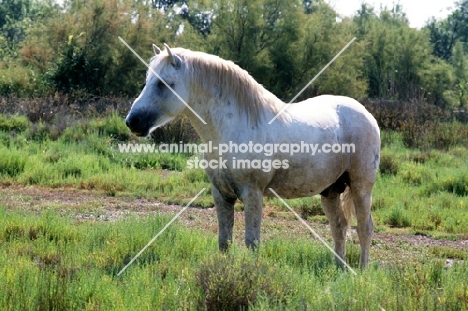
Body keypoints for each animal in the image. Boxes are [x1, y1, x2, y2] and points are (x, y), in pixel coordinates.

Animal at [125, 43, 380, 268]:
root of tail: (365, 113)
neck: (234, 127)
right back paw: (340, 270)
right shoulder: (221, 194)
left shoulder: (253, 194)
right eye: (147, 80)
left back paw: (362, 271)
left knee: (364, 228)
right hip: (330, 190)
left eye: (164, 83)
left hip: (361, 186)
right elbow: (224, 241)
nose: (133, 122)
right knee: (339, 227)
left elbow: (252, 242)